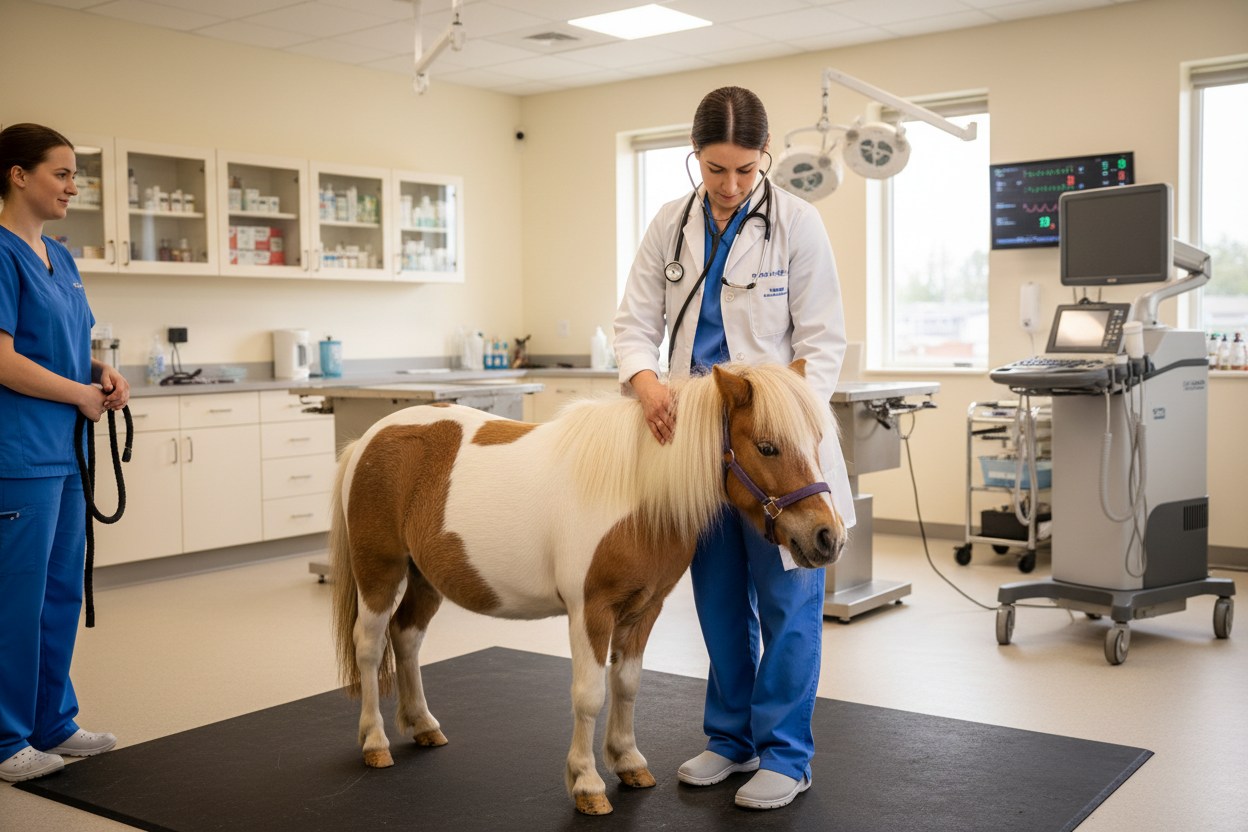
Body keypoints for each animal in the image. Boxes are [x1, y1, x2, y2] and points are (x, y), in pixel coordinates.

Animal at [328, 360, 846, 815]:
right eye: (767, 447)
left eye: (817, 440)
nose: (829, 537)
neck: (638, 490)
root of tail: (369, 439)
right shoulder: (590, 612)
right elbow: (590, 694)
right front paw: (587, 783)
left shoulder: (644, 610)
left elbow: (627, 684)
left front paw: (628, 761)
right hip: (379, 572)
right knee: (370, 648)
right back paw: (375, 740)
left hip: (424, 577)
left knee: (406, 637)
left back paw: (422, 724)